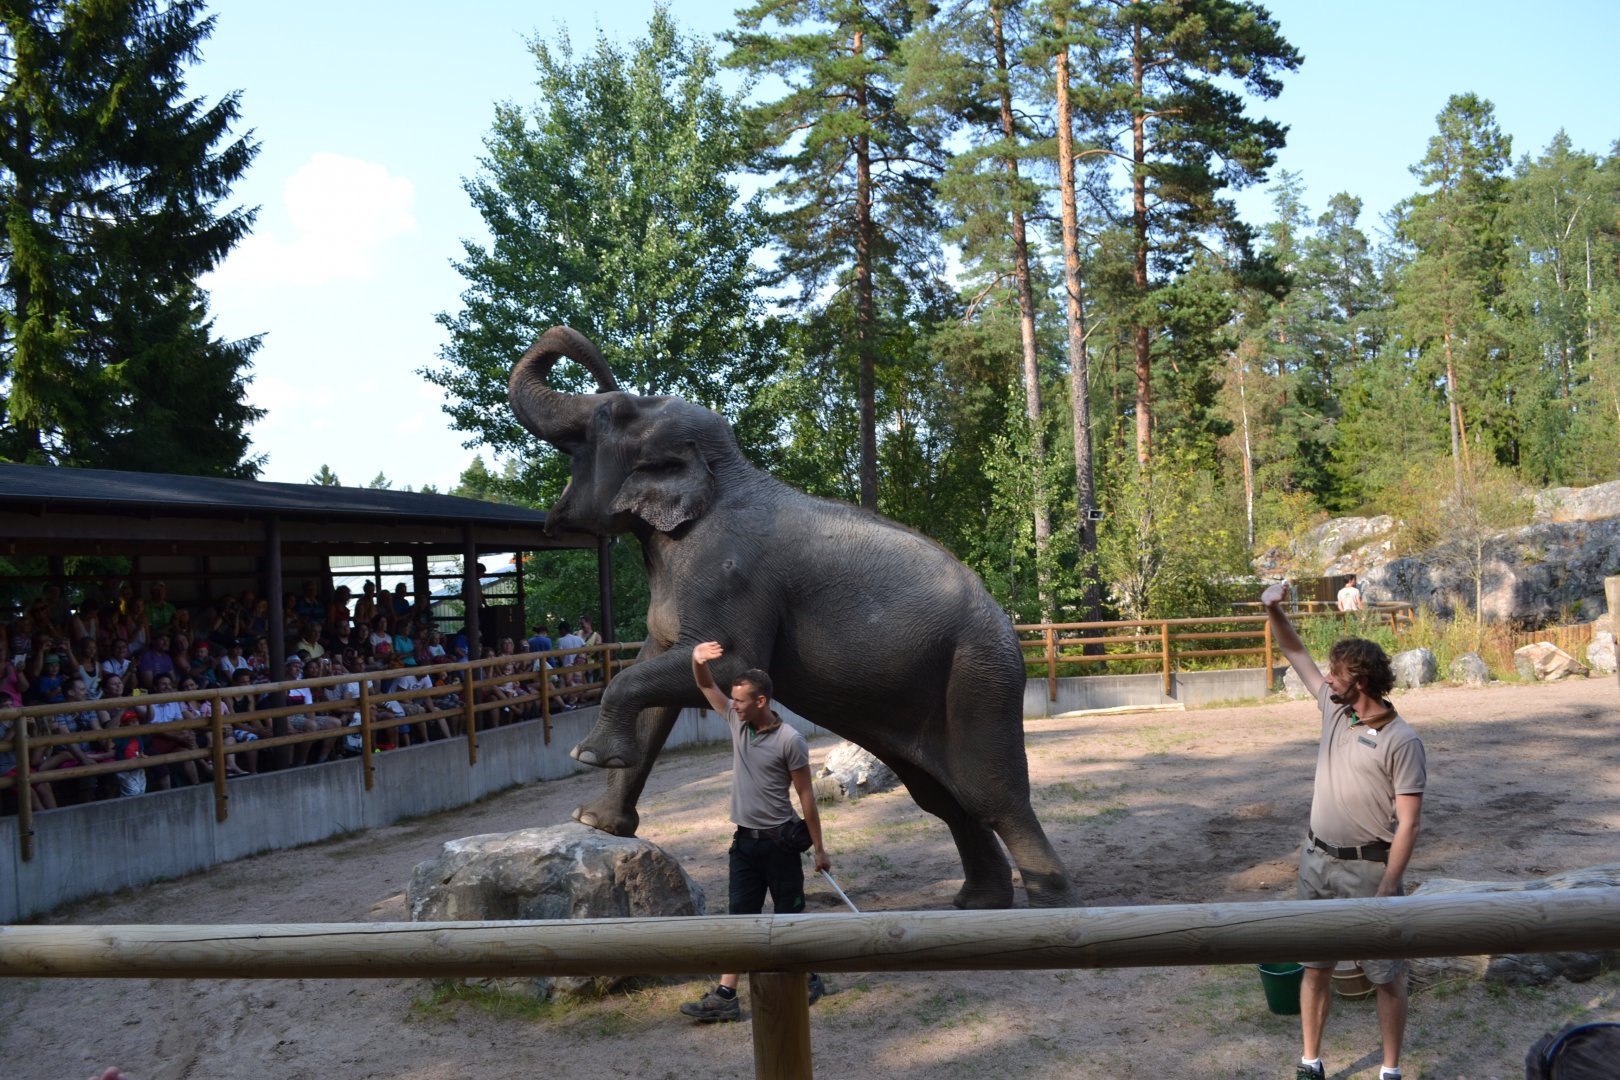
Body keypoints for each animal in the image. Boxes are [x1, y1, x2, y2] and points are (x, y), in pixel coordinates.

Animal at [508, 326, 1076, 909]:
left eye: (611, 412)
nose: (603, 371)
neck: (724, 474)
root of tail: (1006, 622)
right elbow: (661, 672)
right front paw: (595, 821)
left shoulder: (730, 573)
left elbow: (727, 666)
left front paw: (587, 756)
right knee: (941, 796)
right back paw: (977, 903)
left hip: (978, 672)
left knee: (992, 795)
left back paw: (1047, 904)